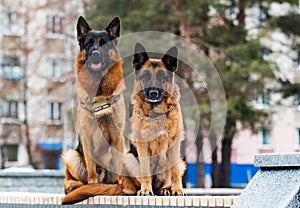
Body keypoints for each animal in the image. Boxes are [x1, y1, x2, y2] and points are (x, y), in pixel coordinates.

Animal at [61, 15, 126, 203]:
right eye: (89, 44)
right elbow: (90, 170)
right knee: (72, 179)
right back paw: (73, 186)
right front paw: (92, 186)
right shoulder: (87, 136)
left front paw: (119, 186)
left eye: (104, 44)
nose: (95, 54)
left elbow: (117, 169)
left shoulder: (117, 137)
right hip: (71, 155)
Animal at [123, 43, 185, 196]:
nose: (153, 93)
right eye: (145, 76)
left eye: (162, 77)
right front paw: (145, 190)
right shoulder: (143, 146)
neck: (156, 114)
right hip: (128, 158)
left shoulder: (175, 145)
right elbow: (145, 171)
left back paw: (166, 189)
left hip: (181, 161)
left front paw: (177, 189)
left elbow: (174, 172)